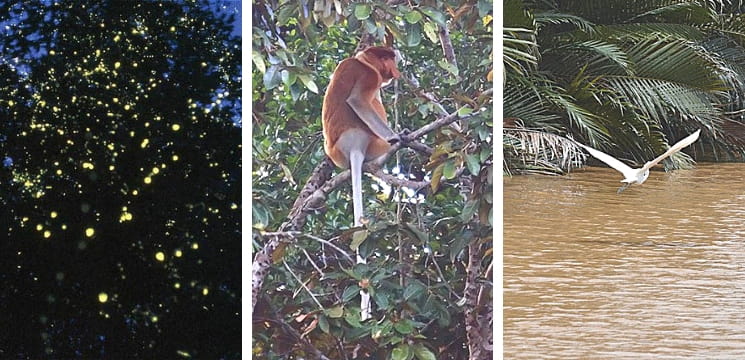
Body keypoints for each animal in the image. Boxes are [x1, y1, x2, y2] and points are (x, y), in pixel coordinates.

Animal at [320, 45, 402, 320]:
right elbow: (357, 101)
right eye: (387, 59)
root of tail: (353, 147)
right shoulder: (369, 76)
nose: (395, 71)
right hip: (370, 139)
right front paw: (398, 137)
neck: (361, 60)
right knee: (372, 103)